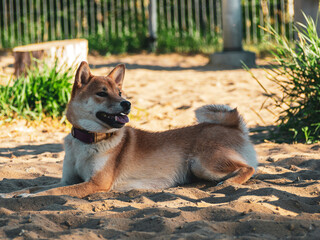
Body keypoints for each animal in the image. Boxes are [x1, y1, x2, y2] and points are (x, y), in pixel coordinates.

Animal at [2, 62, 258, 199]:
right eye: (102, 93)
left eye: (120, 93)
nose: (127, 104)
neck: (88, 141)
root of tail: (234, 126)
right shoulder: (67, 179)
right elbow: (40, 186)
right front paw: (10, 194)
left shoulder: (95, 184)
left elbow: (48, 193)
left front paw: (26, 197)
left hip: (203, 163)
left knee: (249, 168)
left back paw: (229, 183)